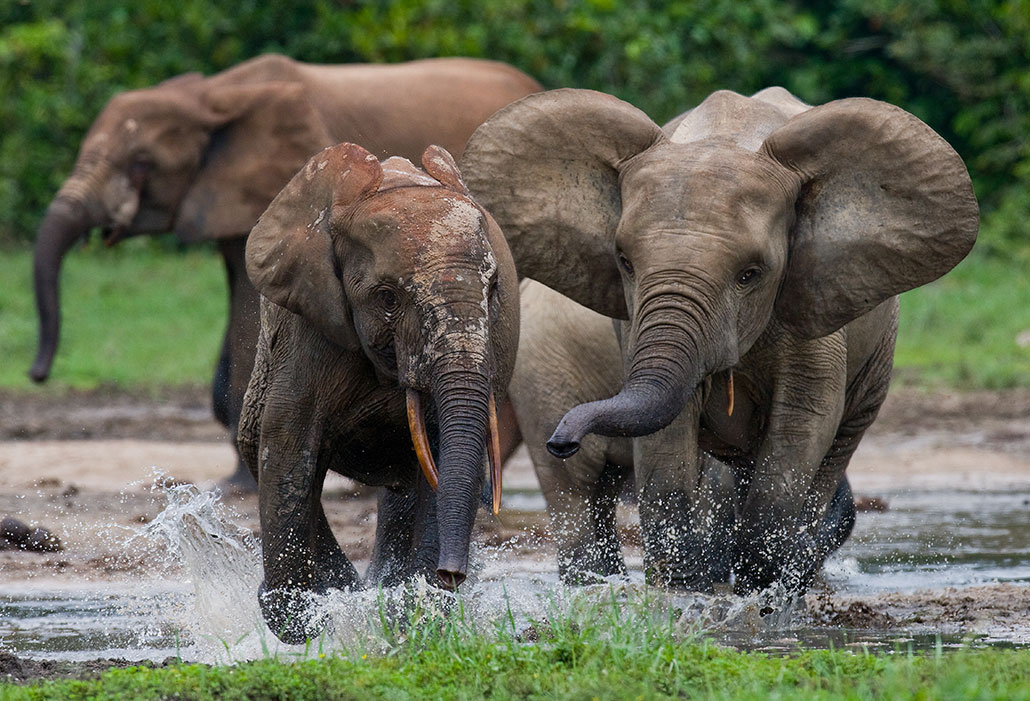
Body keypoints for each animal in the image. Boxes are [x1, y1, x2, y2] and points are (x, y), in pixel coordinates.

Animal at [237, 142, 519, 643]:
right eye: (388, 298)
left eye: (493, 290)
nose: (453, 575)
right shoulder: (309, 327)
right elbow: (289, 442)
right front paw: (302, 620)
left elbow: (442, 455)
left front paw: (416, 614)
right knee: (256, 443)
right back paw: (352, 591)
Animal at [462, 87, 978, 594]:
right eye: (624, 262)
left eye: (751, 274)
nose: (561, 439)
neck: (725, 138)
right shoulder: (633, 321)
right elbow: (670, 428)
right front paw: (686, 584)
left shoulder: (812, 296)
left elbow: (804, 417)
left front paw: (759, 587)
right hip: (544, 372)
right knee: (577, 487)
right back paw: (595, 582)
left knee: (833, 446)